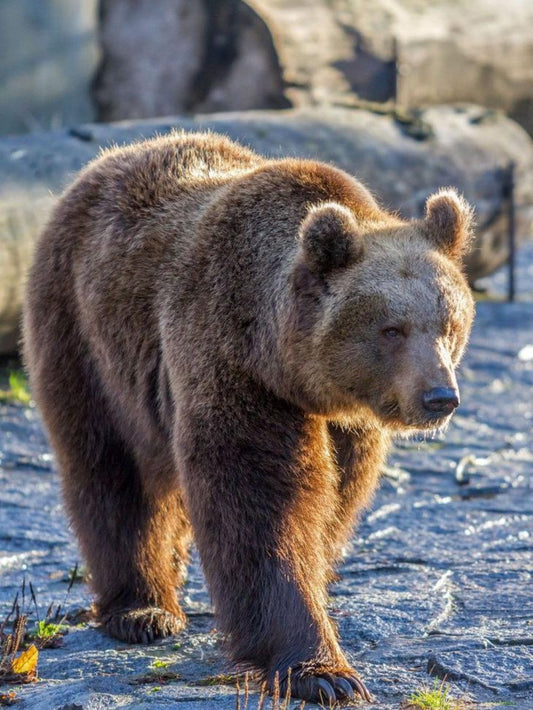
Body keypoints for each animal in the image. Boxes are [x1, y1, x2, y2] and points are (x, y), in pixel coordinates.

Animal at [23, 131, 475, 704]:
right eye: (392, 329)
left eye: (449, 324)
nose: (440, 397)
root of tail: (105, 161)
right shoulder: (230, 361)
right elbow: (259, 503)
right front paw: (324, 673)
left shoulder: (348, 425)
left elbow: (335, 498)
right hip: (86, 337)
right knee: (111, 472)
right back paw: (143, 609)